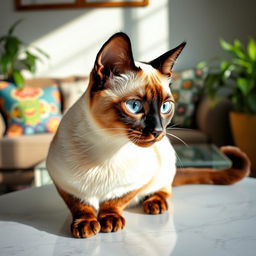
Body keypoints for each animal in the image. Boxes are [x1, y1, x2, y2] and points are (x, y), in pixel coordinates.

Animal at [46, 32, 250, 238]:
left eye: (165, 107)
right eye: (134, 106)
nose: (158, 131)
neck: (108, 148)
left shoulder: (139, 180)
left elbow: (116, 200)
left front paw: (109, 219)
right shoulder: (61, 180)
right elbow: (80, 204)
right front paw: (85, 223)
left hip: (166, 163)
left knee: (165, 188)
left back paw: (155, 203)